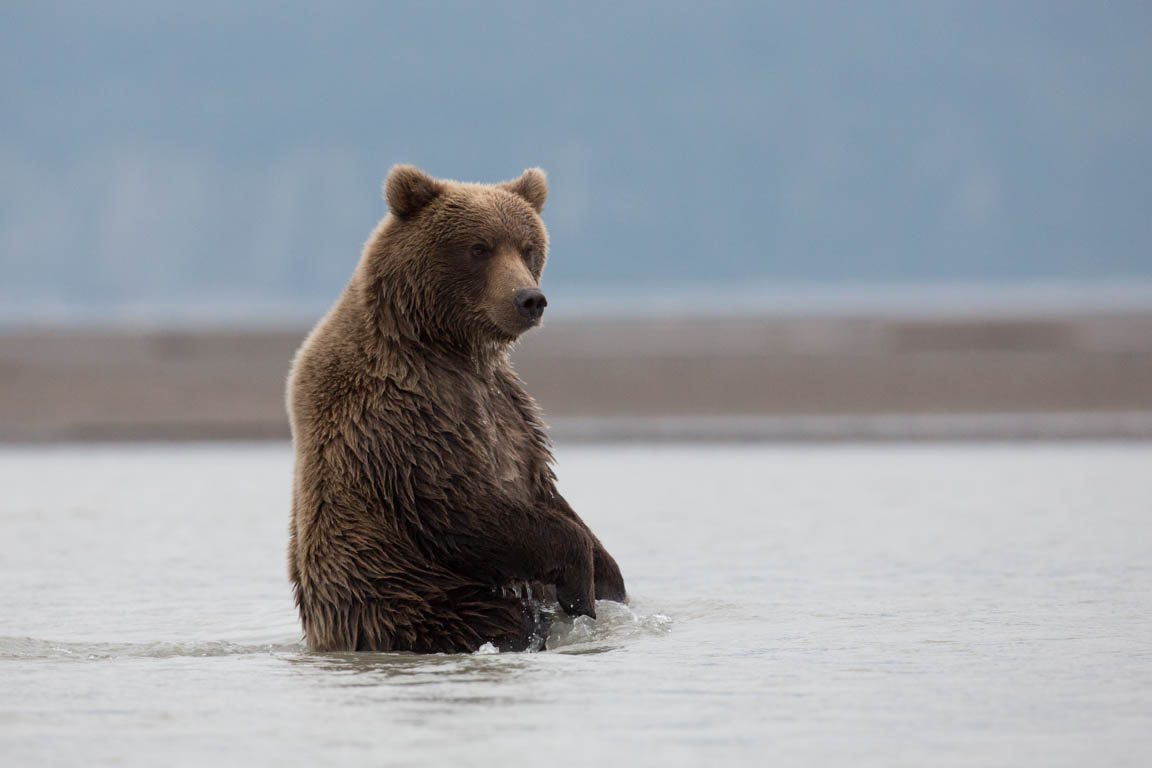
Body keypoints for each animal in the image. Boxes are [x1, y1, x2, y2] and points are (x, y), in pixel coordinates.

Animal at [288, 165, 631, 654]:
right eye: (479, 247)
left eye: (528, 246)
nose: (529, 298)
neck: (450, 348)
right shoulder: (401, 418)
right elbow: (458, 506)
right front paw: (579, 582)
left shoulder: (509, 410)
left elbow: (543, 486)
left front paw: (607, 581)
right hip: (406, 599)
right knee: (491, 618)